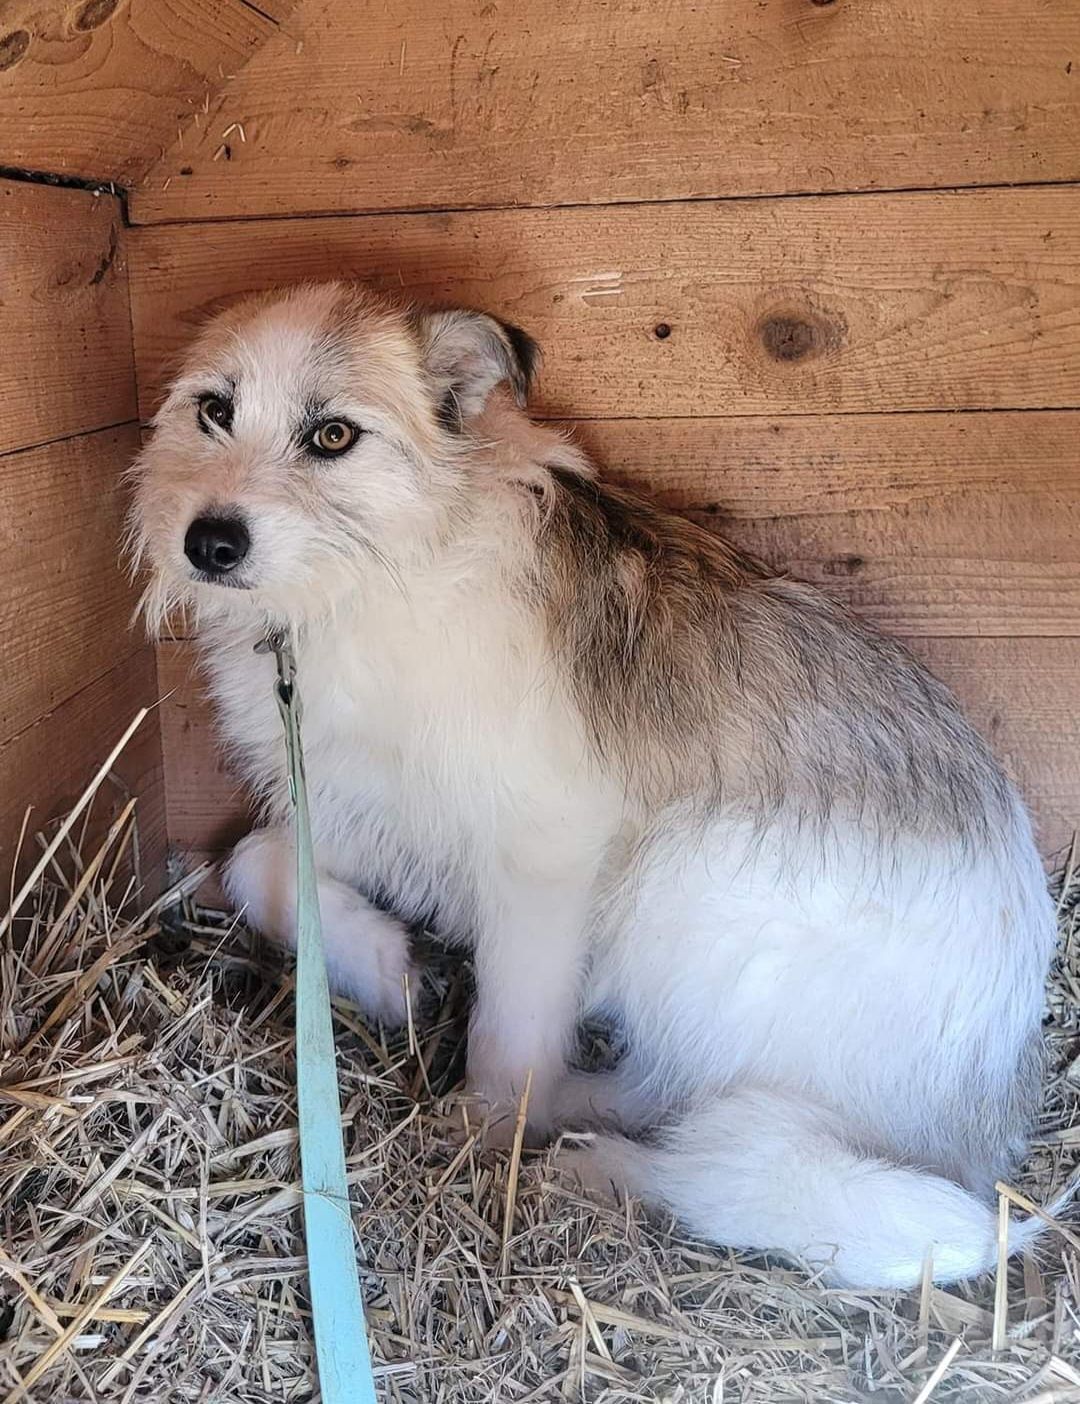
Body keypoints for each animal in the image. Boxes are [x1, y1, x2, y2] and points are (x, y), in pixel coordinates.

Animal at [128, 279, 1056, 1286]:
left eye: (332, 435)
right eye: (214, 411)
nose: (209, 543)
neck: (385, 573)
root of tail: (984, 1113)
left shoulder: (545, 850)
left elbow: (513, 1024)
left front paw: (483, 1124)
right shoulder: (356, 805)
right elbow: (254, 864)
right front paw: (387, 969)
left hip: (686, 869)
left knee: (728, 1151)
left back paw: (595, 1162)